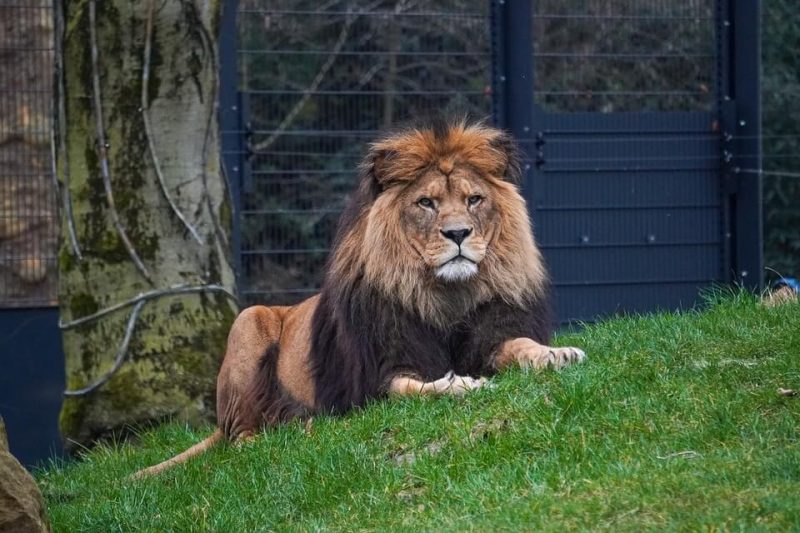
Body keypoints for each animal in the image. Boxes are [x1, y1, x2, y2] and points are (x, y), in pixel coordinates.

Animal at [132, 117, 585, 478]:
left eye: (474, 199)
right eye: (426, 202)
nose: (458, 233)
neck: (446, 295)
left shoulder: (492, 333)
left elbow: (518, 345)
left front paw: (555, 355)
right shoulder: (374, 377)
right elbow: (412, 388)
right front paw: (458, 384)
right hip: (249, 321)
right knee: (242, 439)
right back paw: (288, 433)